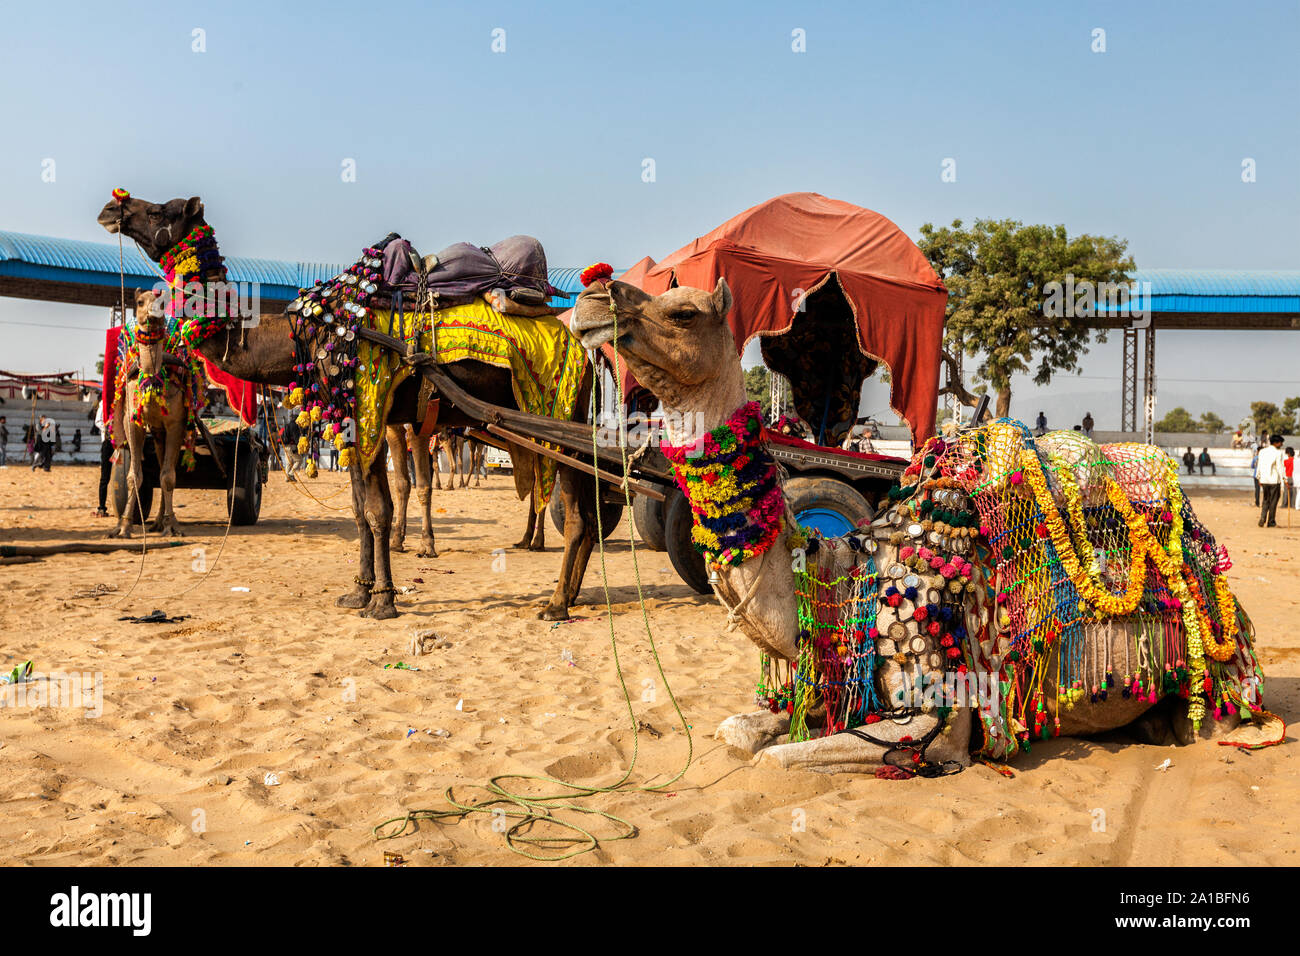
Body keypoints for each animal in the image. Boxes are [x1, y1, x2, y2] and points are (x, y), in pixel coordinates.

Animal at [111, 287, 189, 538]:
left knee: (166, 468)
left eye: (163, 302)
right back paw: (155, 522)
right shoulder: (131, 421)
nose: (153, 315)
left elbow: (168, 477)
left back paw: (162, 521)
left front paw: (173, 525)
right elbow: (134, 476)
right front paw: (124, 525)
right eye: (139, 301)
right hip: (155, 431)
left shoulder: (176, 423)